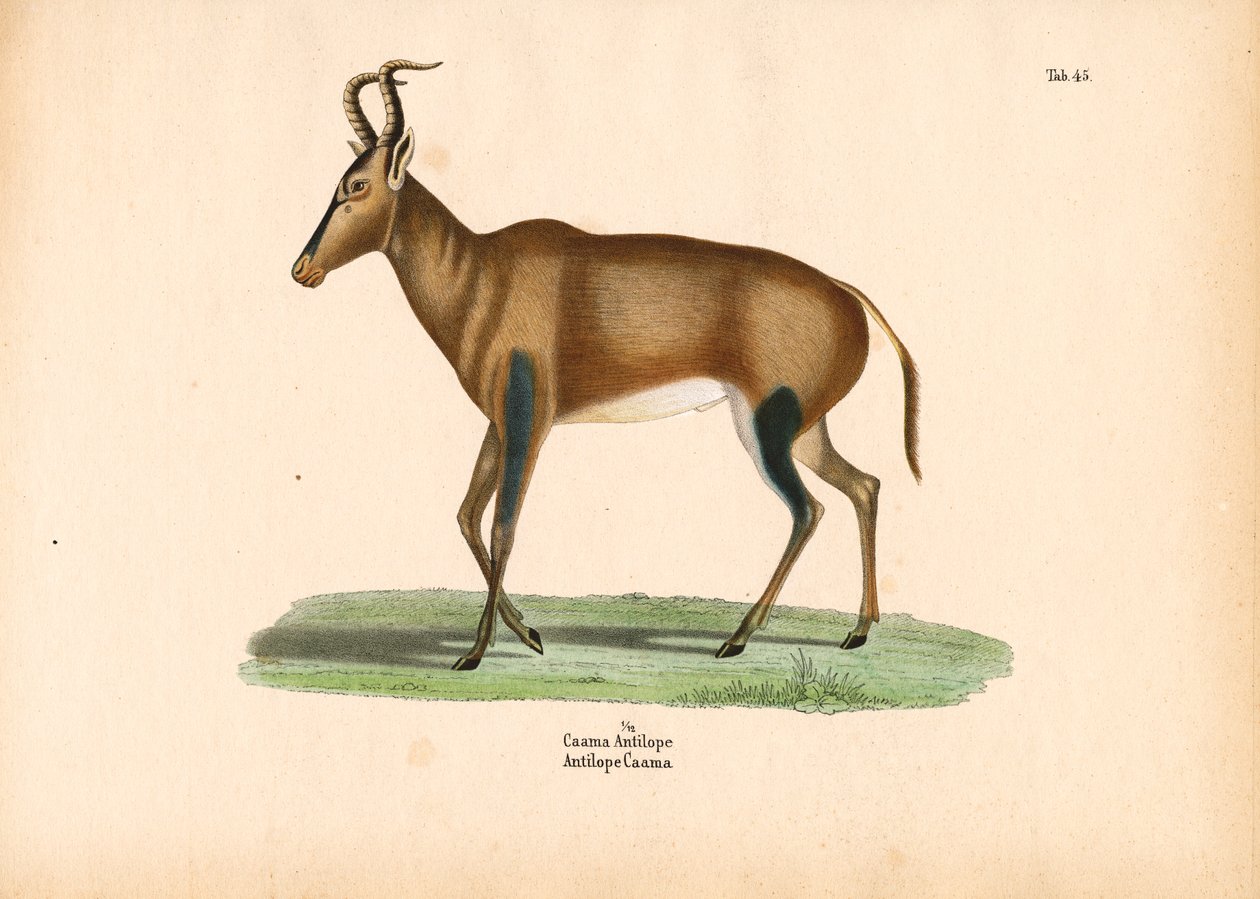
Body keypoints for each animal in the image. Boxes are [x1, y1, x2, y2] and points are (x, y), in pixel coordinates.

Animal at [291, 60, 921, 671]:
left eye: (356, 185)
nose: (302, 269)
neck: (482, 274)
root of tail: (845, 292)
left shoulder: (529, 423)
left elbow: (502, 526)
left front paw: (474, 653)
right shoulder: (500, 422)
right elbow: (468, 515)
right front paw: (530, 634)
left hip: (768, 433)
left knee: (809, 509)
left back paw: (739, 638)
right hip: (800, 431)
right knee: (864, 486)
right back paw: (858, 631)